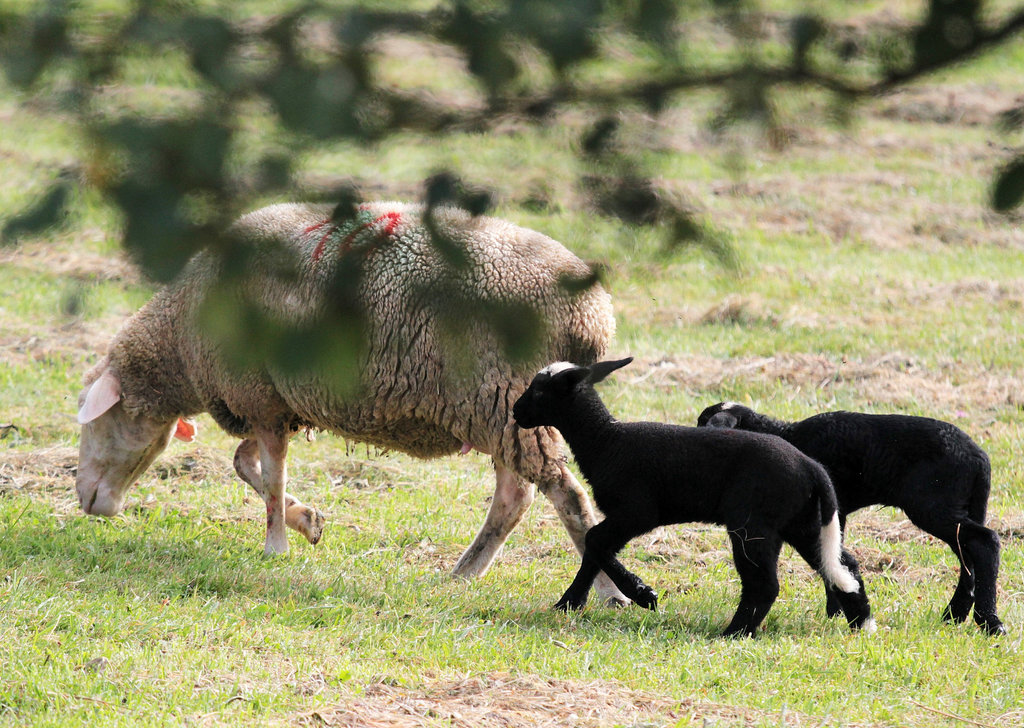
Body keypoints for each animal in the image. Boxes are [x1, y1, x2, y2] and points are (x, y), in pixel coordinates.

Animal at [74, 199, 622, 602]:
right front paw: (307, 522)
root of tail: (593, 315)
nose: (86, 503)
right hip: (502, 409)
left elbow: (270, 478)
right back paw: (464, 573)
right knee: (514, 497)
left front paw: (275, 546)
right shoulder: (274, 401)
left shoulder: (260, 395)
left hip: (501, 397)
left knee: (566, 496)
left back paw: (609, 593)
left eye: (97, 421)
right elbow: (246, 465)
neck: (182, 339)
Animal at [512, 360, 872, 638]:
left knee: (764, 584)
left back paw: (734, 633)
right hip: (802, 524)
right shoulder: (625, 516)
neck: (605, 441)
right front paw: (568, 603)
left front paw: (642, 594)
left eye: (541, 391)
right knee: (843, 565)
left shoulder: (637, 511)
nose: (515, 411)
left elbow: (595, 541)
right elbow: (594, 549)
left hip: (753, 525)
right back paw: (861, 623)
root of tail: (813, 470)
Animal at [700, 401, 1003, 634]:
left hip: (934, 505)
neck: (787, 434)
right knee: (968, 555)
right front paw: (837, 607)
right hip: (957, 507)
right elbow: (834, 552)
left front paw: (836, 608)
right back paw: (955, 615)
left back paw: (988, 621)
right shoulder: (837, 511)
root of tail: (980, 459)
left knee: (984, 543)